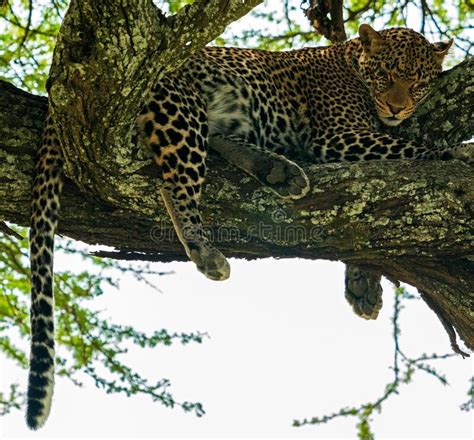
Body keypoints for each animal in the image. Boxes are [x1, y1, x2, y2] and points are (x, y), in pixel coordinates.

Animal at [25, 24, 466, 430]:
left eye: (418, 82)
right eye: (387, 74)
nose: (396, 109)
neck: (351, 60)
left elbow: (363, 223)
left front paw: (364, 286)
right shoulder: (338, 137)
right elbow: (409, 150)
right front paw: (455, 153)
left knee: (216, 141)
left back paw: (279, 171)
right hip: (179, 110)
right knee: (173, 185)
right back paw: (207, 252)